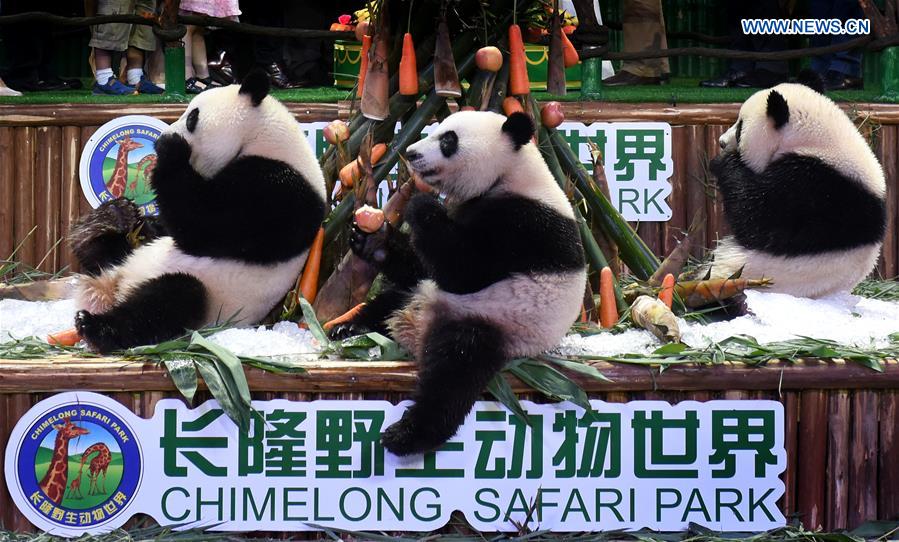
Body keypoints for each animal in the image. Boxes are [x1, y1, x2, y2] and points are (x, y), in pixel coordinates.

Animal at [71, 71, 326, 352]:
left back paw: (94, 325)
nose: (159, 139)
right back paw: (107, 220)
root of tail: (113, 287)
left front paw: (172, 148)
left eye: (193, 117)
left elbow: (203, 225)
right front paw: (140, 217)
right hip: (131, 256)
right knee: (109, 253)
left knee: (170, 300)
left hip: (212, 298)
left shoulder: (278, 194)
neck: (264, 136)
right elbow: (172, 225)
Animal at [334, 110, 588, 454]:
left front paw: (421, 205)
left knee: (453, 374)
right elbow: (429, 266)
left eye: (448, 140)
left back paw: (407, 435)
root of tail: (417, 327)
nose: (411, 153)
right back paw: (351, 328)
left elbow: (465, 272)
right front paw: (374, 241)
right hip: (421, 296)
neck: (511, 174)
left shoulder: (525, 225)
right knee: (391, 300)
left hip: (494, 322)